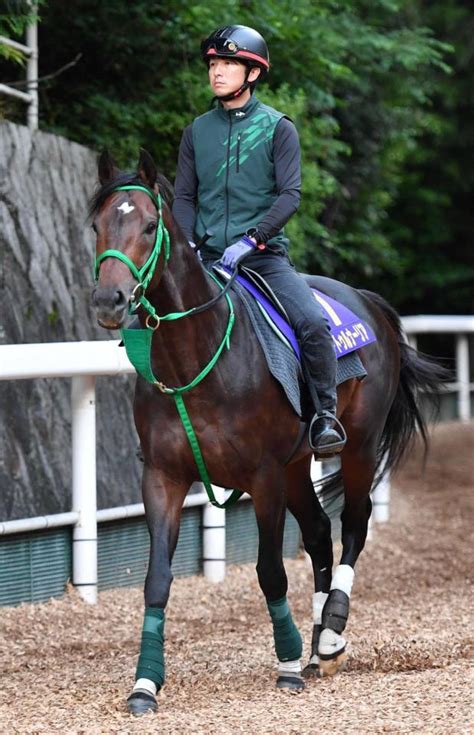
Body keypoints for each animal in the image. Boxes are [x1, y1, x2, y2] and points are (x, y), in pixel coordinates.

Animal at [89, 151, 448, 720]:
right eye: (97, 225)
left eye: (148, 226)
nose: (110, 299)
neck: (200, 354)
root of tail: (367, 301)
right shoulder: (163, 477)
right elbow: (157, 580)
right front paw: (145, 683)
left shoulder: (263, 478)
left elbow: (270, 571)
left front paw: (286, 664)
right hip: (297, 466)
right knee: (320, 532)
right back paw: (320, 644)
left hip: (357, 447)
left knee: (354, 523)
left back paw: (331, 634)